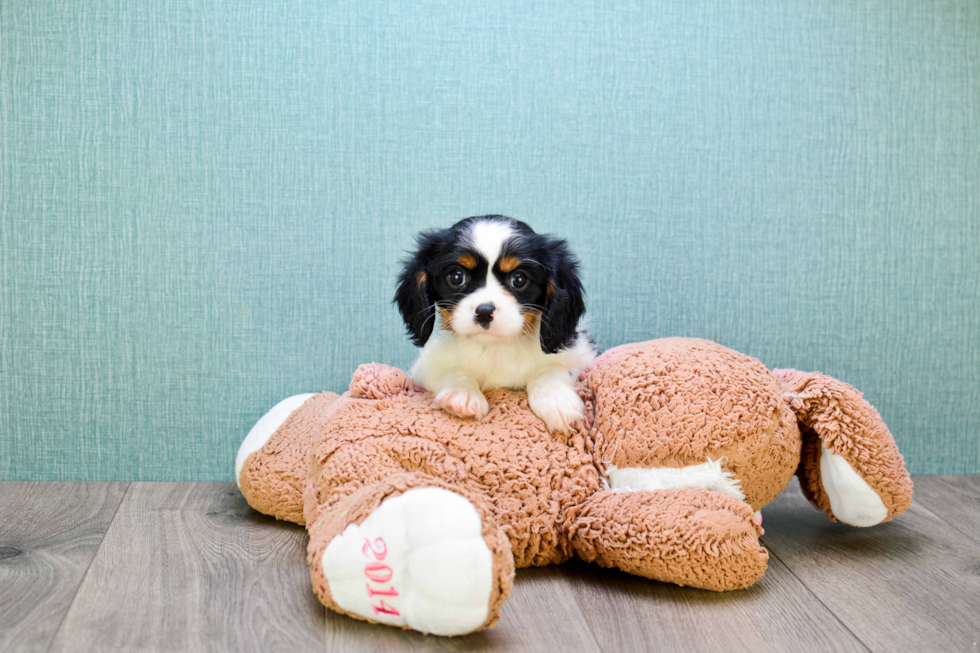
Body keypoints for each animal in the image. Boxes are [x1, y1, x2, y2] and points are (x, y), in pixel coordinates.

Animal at [392, 214, 596, 432]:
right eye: (456, 277)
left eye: (519, 279)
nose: (484, 312)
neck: (494, 347)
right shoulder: (425, 368)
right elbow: (453, 371)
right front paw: (463, 395)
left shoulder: (581, 357)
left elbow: (550, 371)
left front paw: (557, 401)